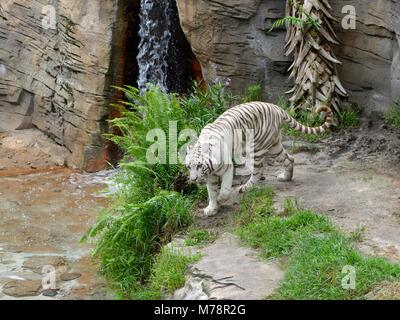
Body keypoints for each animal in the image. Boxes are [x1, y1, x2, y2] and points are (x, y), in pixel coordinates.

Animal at [186, 102, 332, 218]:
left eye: (199, 165)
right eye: (188, 167)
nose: (193, 179)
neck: (210, 168)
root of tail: (276, 107)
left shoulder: (227, 168)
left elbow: (225, 189)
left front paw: (221, 200)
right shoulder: (210, 175)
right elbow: (211, 192)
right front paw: (211, 208)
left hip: (257, 147)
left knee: (258, 172)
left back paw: (245, 187)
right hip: (274, 146)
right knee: (289, 159)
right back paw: (286, 177)